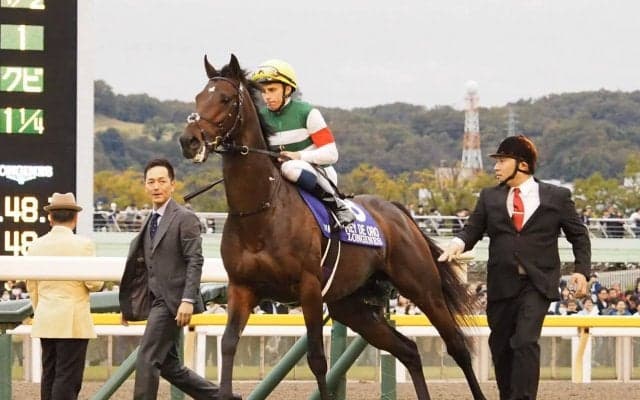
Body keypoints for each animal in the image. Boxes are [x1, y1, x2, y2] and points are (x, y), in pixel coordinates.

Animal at [179, 54, 486, 400]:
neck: (260, 211)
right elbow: (229, 345)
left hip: (422, 288)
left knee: (457, 346)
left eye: (225, 98)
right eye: (198, 97)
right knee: (408, 349)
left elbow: (317, 359)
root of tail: (397, 211)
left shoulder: (310, 288)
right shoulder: (242, 288)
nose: (188, 140)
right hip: (350, 305)